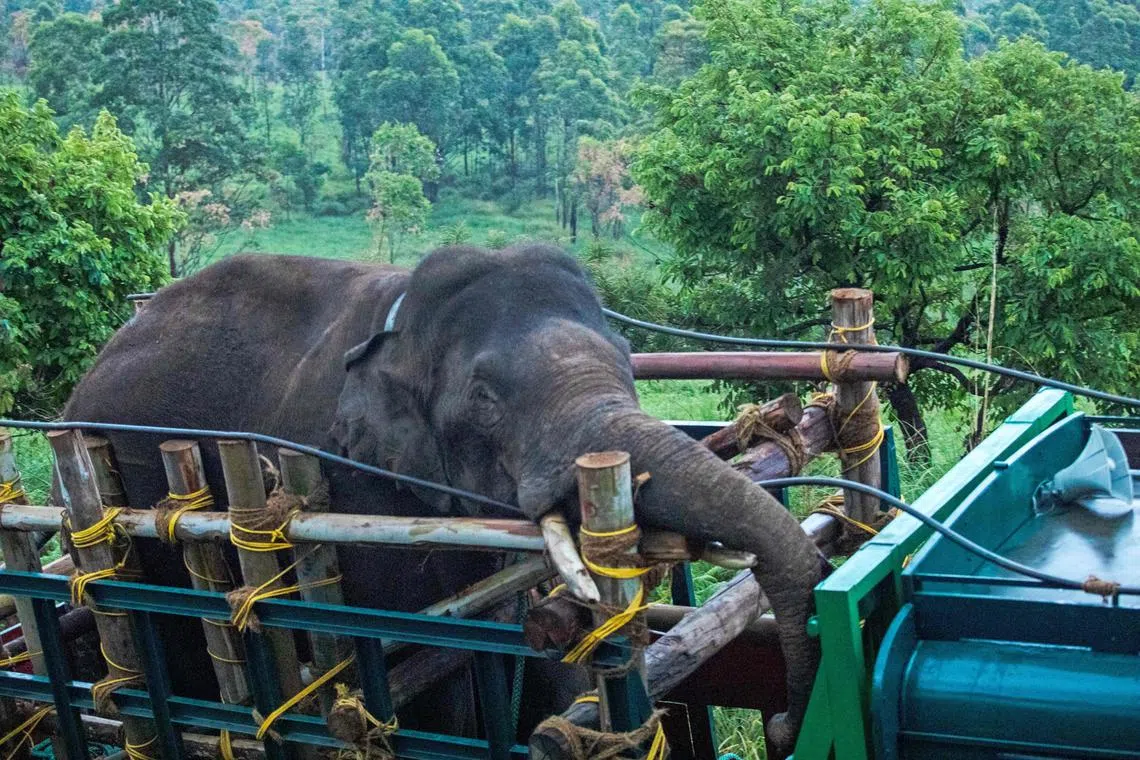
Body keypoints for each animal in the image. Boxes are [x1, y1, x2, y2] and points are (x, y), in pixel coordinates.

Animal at [63, 244, 823, 755]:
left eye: (629, 361)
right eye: (485, 400)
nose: (786, 725)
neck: (400, 324)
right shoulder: (353, 487)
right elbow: (425, 678)